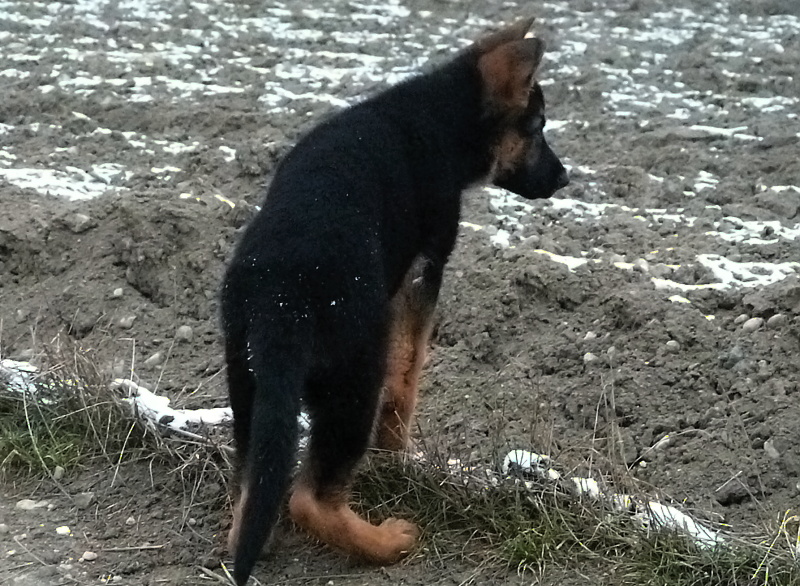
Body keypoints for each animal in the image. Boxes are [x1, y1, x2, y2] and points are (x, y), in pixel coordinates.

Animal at [220, 17, 569, 585]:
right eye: (536, 127)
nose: (565, 178)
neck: (437, 112)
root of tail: (281, 296)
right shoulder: (423, 275)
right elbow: (408, 371)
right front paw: (396, 450)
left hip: (250, 385)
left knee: (254, 486)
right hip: (353, 382)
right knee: (311, 498)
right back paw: (386, 543)